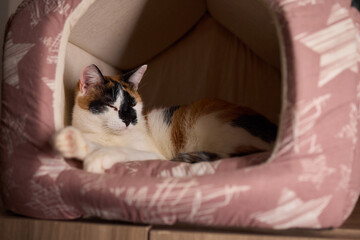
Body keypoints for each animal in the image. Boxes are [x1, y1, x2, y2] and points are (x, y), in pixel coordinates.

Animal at [53, 63, 278, 172]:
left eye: (132, 105)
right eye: (111, 106)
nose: (128, 120)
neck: (106, 136)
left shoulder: (153, 155)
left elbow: (122, 151)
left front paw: (98, 157)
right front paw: (72, 143)